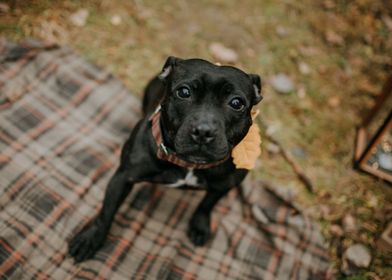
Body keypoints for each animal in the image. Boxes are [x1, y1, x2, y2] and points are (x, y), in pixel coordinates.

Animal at [68, 56, 264, 262]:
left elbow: (207, 204)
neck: (189, 164)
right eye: (184, 92)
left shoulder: (225, 184)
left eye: (236, 103)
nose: (204, 131)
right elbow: (107, 211)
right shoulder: (123, 177)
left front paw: (199, 225)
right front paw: (91, 239)